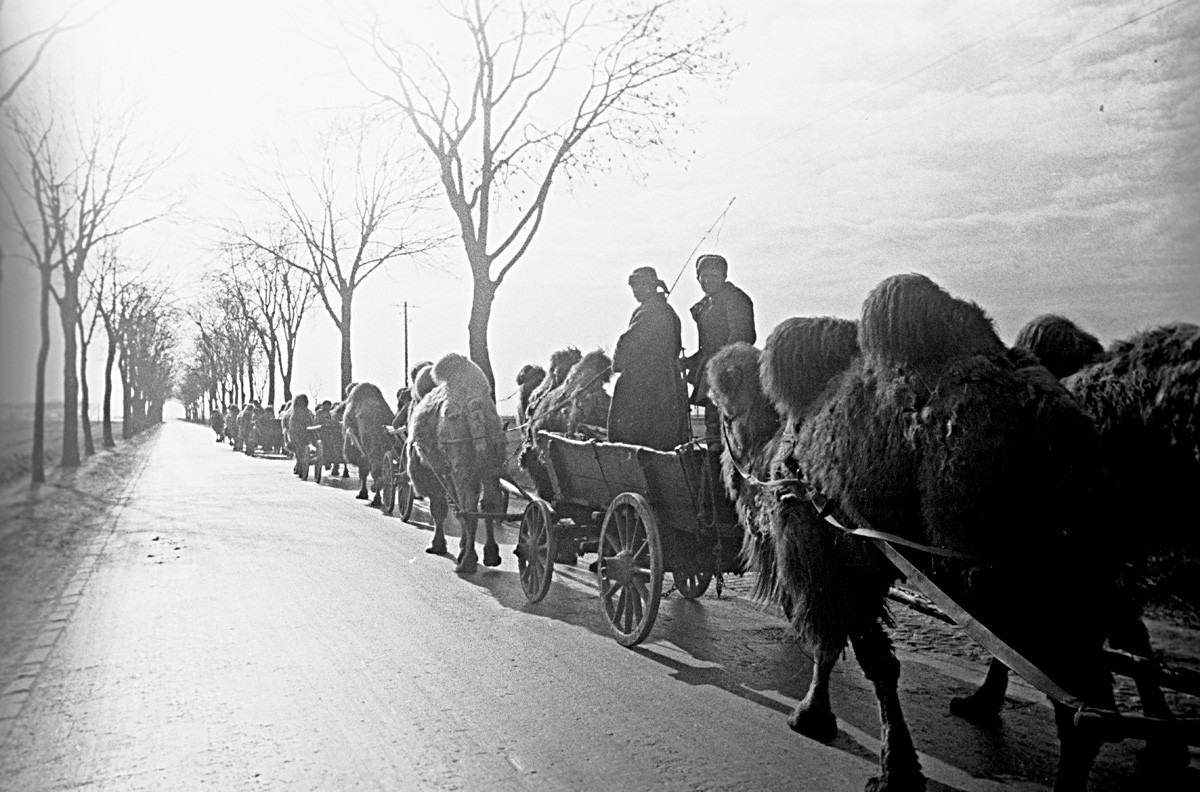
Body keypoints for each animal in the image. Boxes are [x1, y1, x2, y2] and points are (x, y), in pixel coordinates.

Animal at [408, 355, 506, 571]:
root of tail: (474, 402)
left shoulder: (435, 470)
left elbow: (440, 506)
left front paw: (438, 546)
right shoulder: (447, 470)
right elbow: (455, 507)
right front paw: (461, 547)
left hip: (460, 461)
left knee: (468, 508)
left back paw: (466, 563)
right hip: (492, 460)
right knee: (488, 503)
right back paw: (490, 555)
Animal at [710, 272, 1113, 792]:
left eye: (725, 413)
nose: (730, 468)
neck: (781, 446)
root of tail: (1049, 418)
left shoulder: (832, 554)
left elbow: (849, 650)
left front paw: (848, 739)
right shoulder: (867, 562)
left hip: (993, 566)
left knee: (1072, 690)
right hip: (1072, 561)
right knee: (1082, 692)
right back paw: (985, 709)